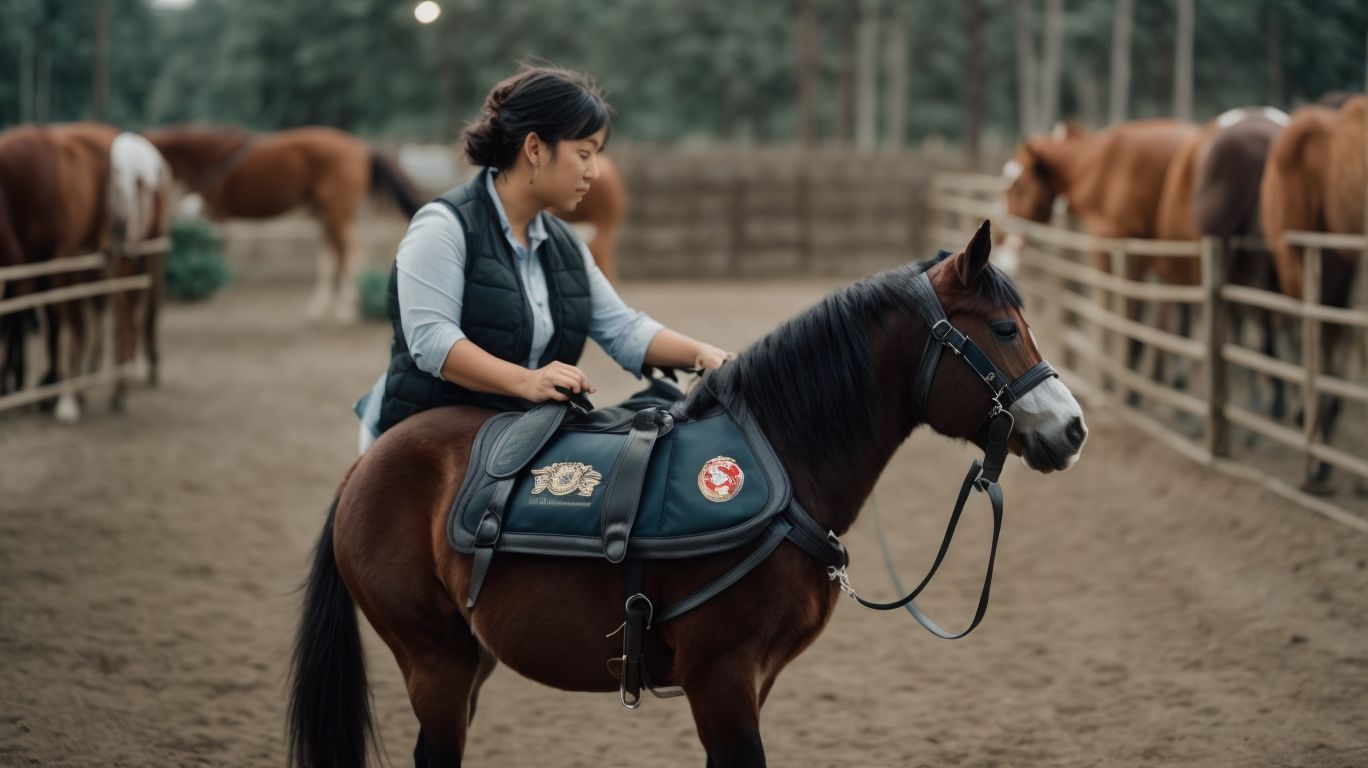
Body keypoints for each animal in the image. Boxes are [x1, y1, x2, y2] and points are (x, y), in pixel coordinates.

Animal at [0, 122, 118, 422]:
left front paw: (45, 389)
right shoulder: (26, 269)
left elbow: (47, 323)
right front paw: (16, 386)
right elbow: (19, 323)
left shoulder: (50, 262)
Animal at [143, 124, 424, 322]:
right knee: (334, 252)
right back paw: (322, 305)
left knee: (348, 250)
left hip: (336, 210)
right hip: (330, 211)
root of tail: (363, 149)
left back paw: (346, 305)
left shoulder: (218, 210)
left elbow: (217, 245)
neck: (211, 155)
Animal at [286, 221, 1088, 767]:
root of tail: (368, 466)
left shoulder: (754, 681)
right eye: (1006, 327)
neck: (784, 460)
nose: (1074, 428)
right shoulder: (721, 678)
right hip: (434, 659)